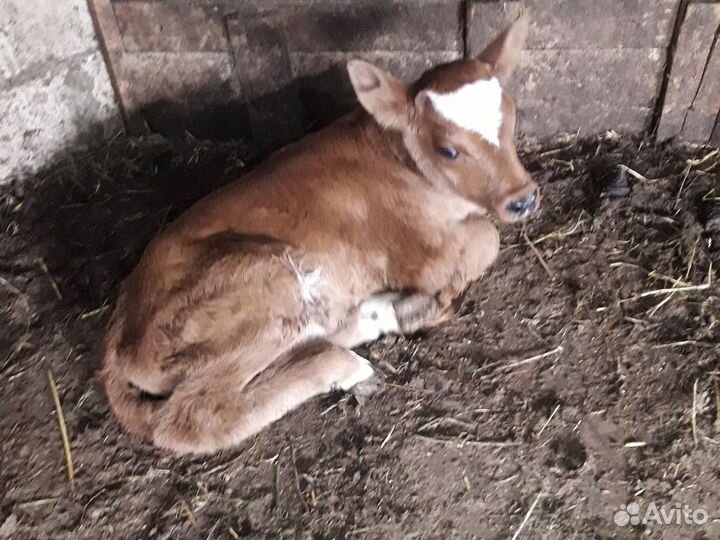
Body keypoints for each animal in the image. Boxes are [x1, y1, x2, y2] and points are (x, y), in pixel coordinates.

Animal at [100, 15, 538, 454]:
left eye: (513, 116)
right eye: (448, 150)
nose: (524, 198)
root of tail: (118, 330)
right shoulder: (423, 257)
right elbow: (487, 239)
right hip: (265, 283)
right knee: (194, 415)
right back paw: (346, 362)